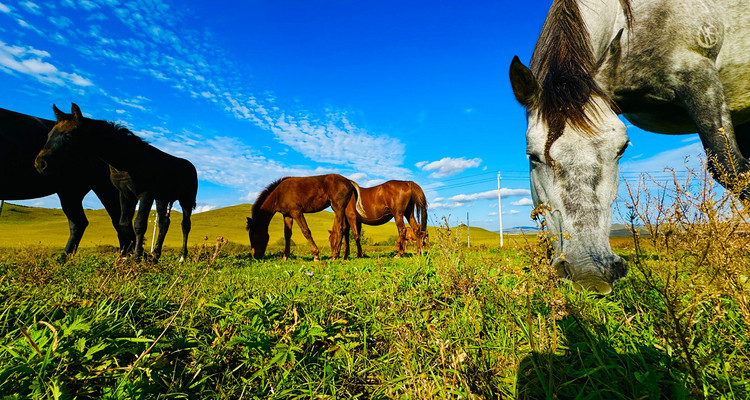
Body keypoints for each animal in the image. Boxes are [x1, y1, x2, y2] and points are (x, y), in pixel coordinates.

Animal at [0, 106, 134, 256]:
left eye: (68, 136)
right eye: (48, 136)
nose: (39, 164)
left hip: (102, 189)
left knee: (118, 222)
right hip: (71, 192)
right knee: (81, 224)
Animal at [34, 103, 200, 260]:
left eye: (68, 135)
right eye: (49, 134)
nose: (40, 164)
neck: (127, 160)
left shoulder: (146, 194)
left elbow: (139, 224)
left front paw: (137, 257)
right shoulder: (126, 194)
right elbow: (124, 223)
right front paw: (126, 256)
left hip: (186, 201)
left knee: (185, 225)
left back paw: (182, 257)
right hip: (162, 199)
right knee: (163, 223)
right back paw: (155, 256)